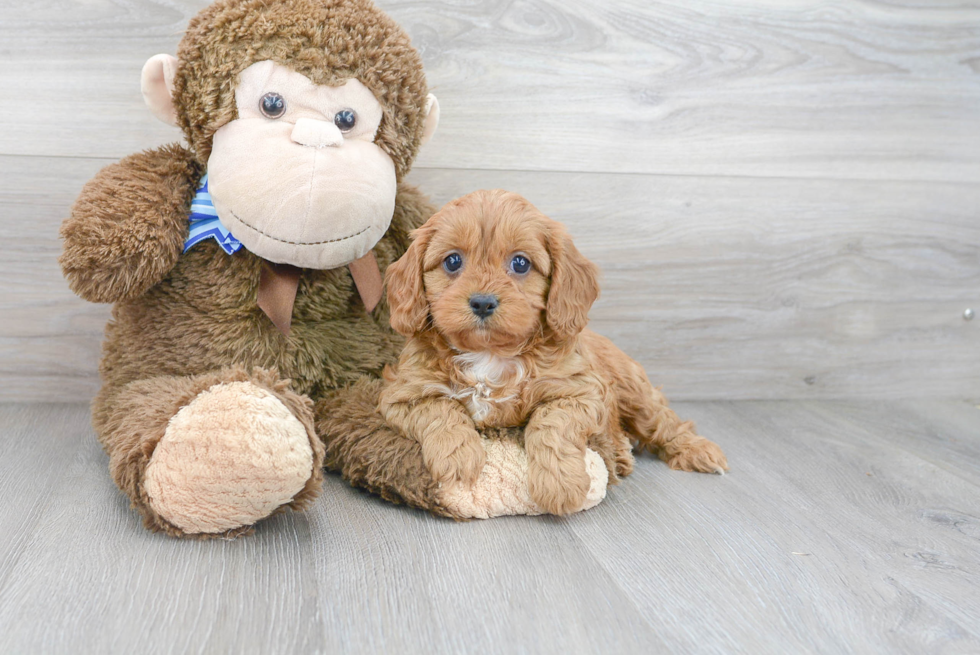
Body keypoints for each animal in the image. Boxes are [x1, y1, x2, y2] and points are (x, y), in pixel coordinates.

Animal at [380, 187, 728, 516]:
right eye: (452, 261)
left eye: (520, 263)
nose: (482, 302)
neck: (490, 354)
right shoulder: (402, 395)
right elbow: (441, 410)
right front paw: (458, 457)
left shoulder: (580, 393)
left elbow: (551, 423)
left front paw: (559, 485)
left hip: (636, 393)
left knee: (665, 422)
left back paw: (697, 451)